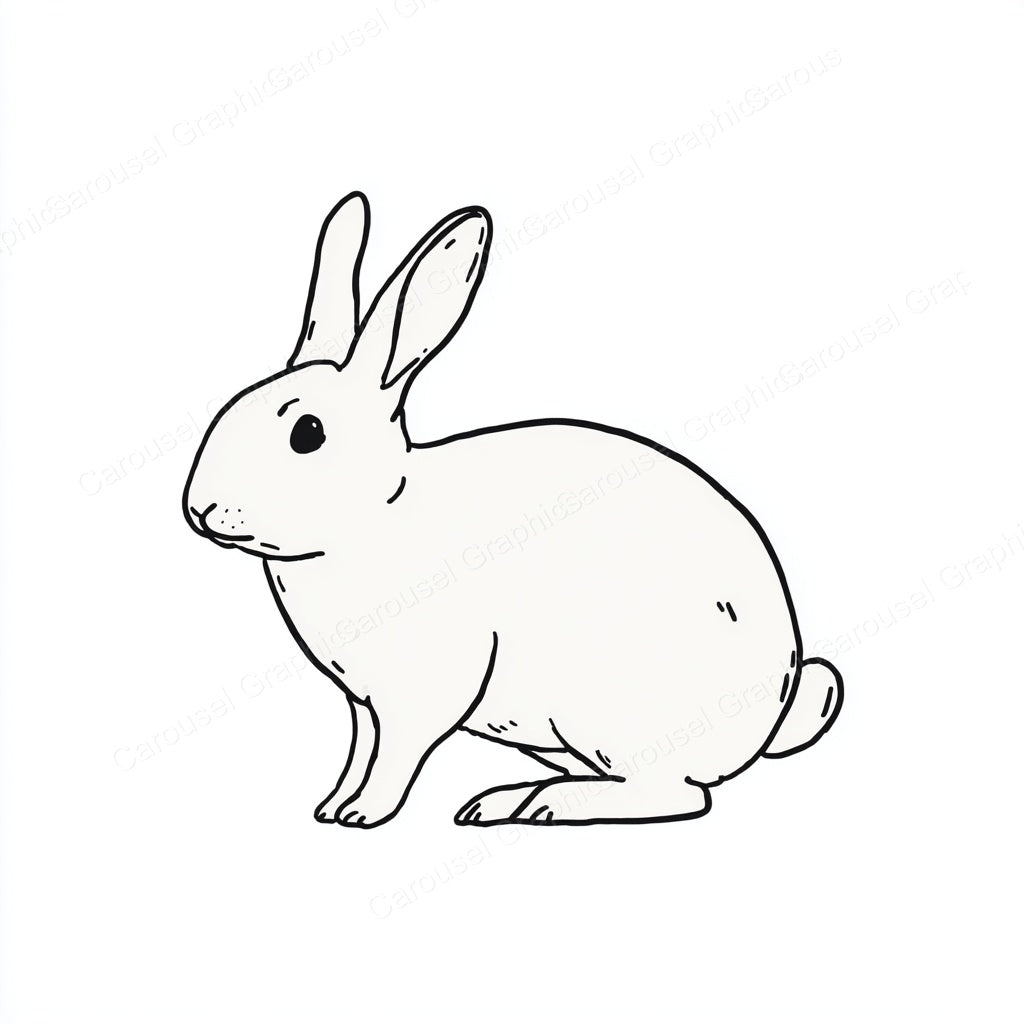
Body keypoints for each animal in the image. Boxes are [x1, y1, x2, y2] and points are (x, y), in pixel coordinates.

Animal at [183, 191, 843, 828]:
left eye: (308, 433)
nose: (200, 510)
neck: (378, 516)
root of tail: (775, 709)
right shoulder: (362, 703)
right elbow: (359, 749)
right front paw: (331, 805)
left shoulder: (421, 691)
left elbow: (397, 754)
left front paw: (364, 814)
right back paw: (504, 800)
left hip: (609, 708)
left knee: (675, 795)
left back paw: (544, 806)